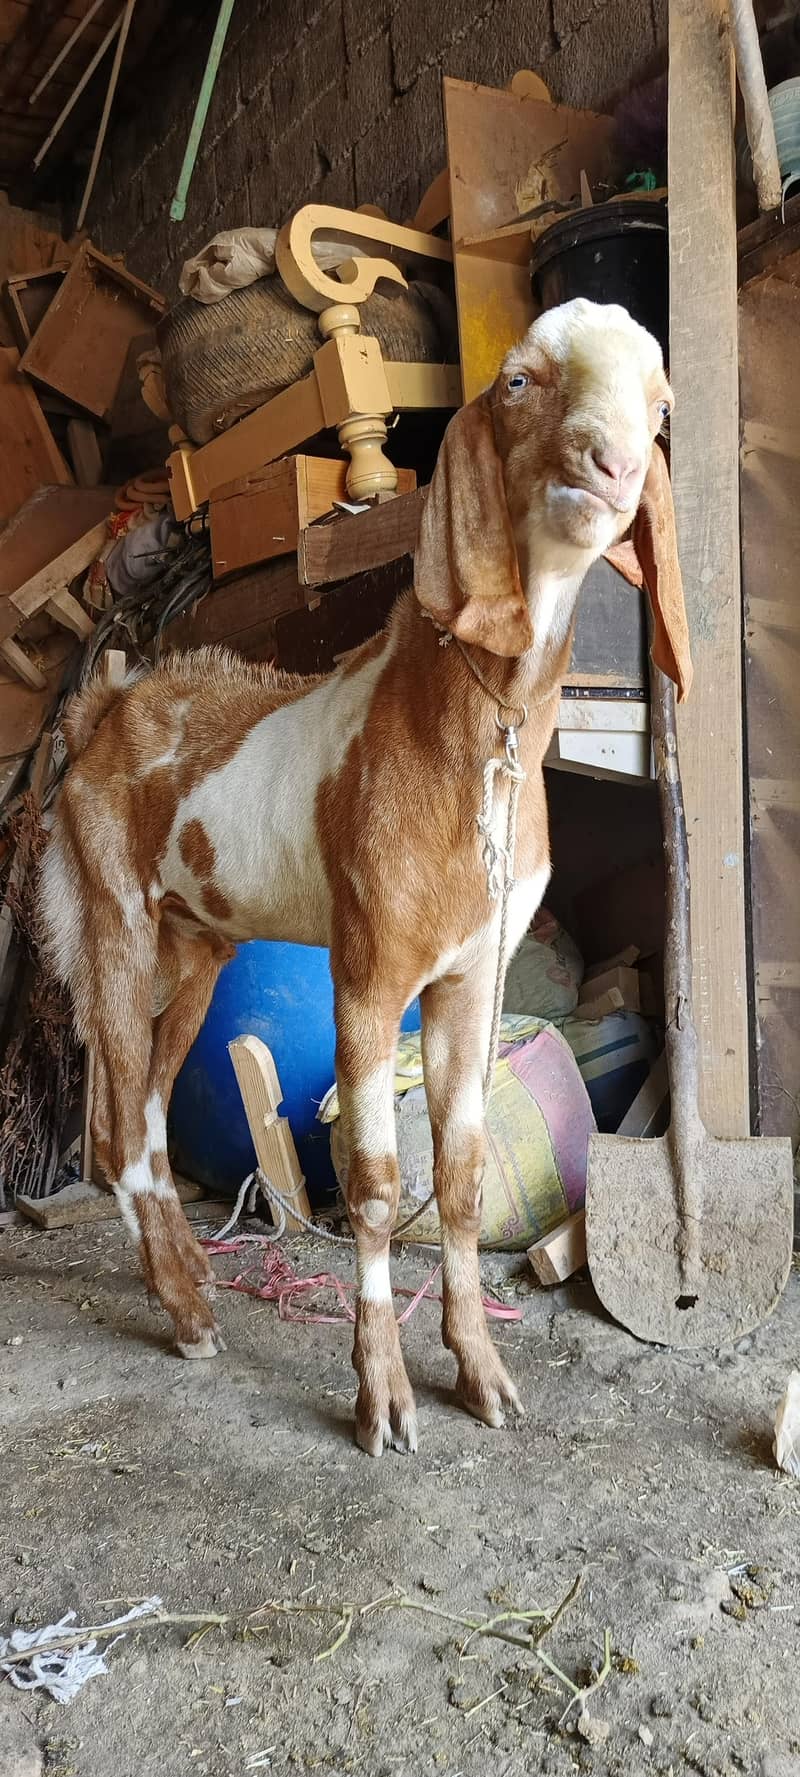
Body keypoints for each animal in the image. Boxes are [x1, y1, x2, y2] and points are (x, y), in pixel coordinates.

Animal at [39, 298, 691, 1456]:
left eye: (659, 408)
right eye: (518, 381)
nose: (609, 466)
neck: (473, 731)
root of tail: (104, 707)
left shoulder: (471, 974)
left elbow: (462, 1179)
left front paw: (480, 1372)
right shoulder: (369, 973)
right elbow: (379, 1186)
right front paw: (382, 1394)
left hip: (196, 943)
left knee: (148, 1111)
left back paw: (187, 1277)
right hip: (112, 914)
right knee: (118, 1128)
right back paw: (187, 1311)